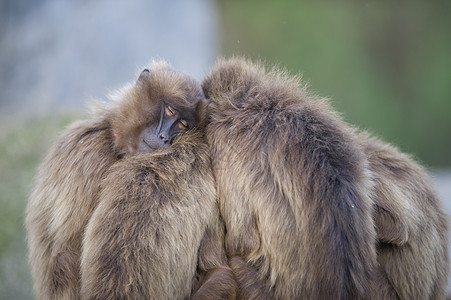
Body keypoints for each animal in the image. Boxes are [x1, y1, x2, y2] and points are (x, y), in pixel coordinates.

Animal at [25, 61, 237, 300]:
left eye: (183, 124)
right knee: (65, 258)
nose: (164, 137)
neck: (118, 144)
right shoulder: (91, 155)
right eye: (170, 110)